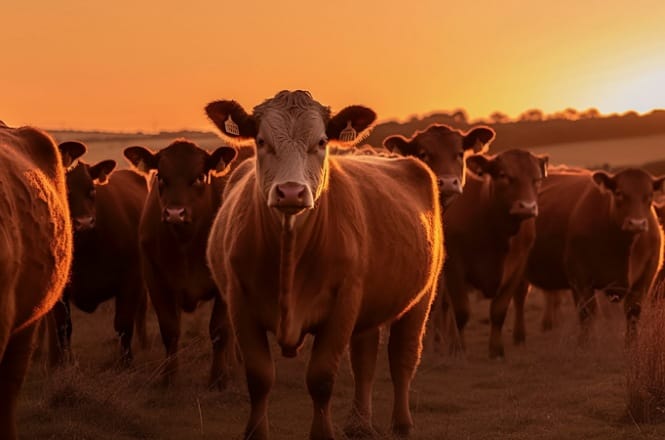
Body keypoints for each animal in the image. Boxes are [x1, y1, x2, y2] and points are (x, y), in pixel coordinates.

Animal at [47, 141, 148, 366]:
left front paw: (126, 363)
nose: (84, 223)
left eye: (92, 190)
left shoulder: (131, 279)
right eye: (64, 190)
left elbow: (123, 324)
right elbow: (63, 327)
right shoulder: (60, 291)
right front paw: (64, 365)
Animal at [123, 139, 238, 389]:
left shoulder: (224, 284)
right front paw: (169, 377)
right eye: (161, 177)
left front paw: (218, 378)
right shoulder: (157, 281)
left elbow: (220, 330)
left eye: (199, 177)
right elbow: (170, 330)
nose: (175, 213)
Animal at [205, 90, 444, 440]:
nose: (291, 191)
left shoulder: (343, 304)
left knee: (402, 358)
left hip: (420, 299)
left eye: (320, 141)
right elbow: (259, 377)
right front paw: (256, 433)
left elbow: (321, 378)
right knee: (364, 361)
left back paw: (401, 423)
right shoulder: (239, 301)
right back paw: (359, 424)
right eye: (261, 141)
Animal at [440, 149, 548, 358]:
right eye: (503, 175)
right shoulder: (454, 267)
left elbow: (499, 311)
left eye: (537, 179)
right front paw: (459, 349)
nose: (527, 207)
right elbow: (461, 311)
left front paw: (497, 350)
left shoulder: (517, 266)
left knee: (520, 298)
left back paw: (519, 338)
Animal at [525, 168, 665, 344]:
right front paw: (585, 344)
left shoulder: (645, 277)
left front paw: (631, 345)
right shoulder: (580, 278)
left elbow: (633, 312)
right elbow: (587, 314)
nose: (637, 223)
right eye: (619, 193)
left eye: (650, 195)